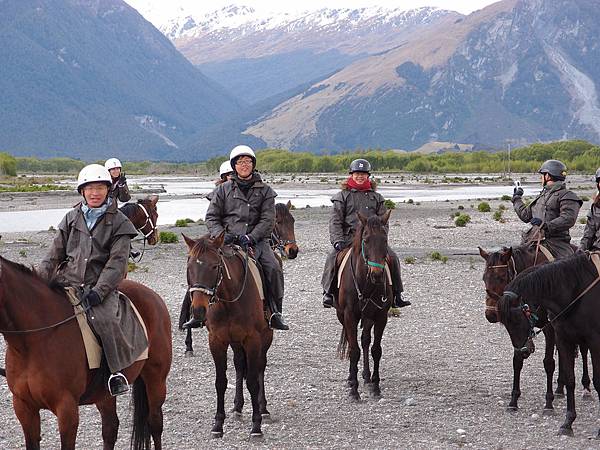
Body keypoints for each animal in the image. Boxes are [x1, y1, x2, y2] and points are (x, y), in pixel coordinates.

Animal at [0, 255, 173, 448]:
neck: (33, 343)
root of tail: (152, 295)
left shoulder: (67, 410)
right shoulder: (24, 408)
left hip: (155, 379)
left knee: (155, 423)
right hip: (105, 393)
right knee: (110, 428)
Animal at [182, 234, 274, 438]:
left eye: (215, 266)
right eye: (189, 267)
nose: (198, 310)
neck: (229, 302)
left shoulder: (253, 340)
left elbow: (253, 381)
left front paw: (256, 426)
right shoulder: (217, 341)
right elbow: (221, 382)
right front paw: (218, 424)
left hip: (265, 337)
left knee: (260, 367)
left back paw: (263, 409)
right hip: (236, 341)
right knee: (239, 365)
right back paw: (238, 407)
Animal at [336, 211, 392, 400]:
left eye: (385, 239)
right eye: (366, 240)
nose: (377, 274)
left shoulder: (381, 316)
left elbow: (376, 349)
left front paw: (375, 386)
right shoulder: (349, 316)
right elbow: (354, 351)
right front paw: (354, 389)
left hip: (368, 316)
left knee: (366, 340)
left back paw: (367, 377)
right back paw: (351, 378)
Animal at [478, 244, 592, 414]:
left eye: (501, 277)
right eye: (484, 278)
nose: (490, 314)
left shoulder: (549, 328)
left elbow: (549, 362)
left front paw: (548, 403)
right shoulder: (520, 331)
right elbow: (517, 360)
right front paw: (513, 400)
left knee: (583, 350)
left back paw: (585, 387)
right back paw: (560, 387)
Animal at [500, 255, 600, 438]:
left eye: (517, 320)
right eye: (506, 324)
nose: (522, 351)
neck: (575, 293)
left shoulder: (594, 342)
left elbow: (598, 381)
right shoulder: (564, 339)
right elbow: (569, 380)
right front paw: (568, 423)